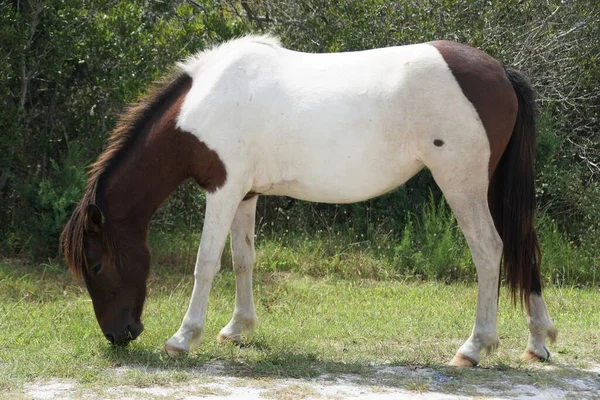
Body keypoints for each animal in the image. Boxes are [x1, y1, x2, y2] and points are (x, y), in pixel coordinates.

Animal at [61, 36, 556, 368]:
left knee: (489, 251)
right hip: (490, 187)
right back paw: (538, 341)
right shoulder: (245, 194)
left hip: (462, 184)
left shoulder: (222, 190)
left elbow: (206, 264)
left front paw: (184, 338)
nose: (119, 335)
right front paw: (237, 329)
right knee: (522, 246)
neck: (204, 104)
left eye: (96, 264)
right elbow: (243, 260)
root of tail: (500, 72)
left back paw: (474, 347)